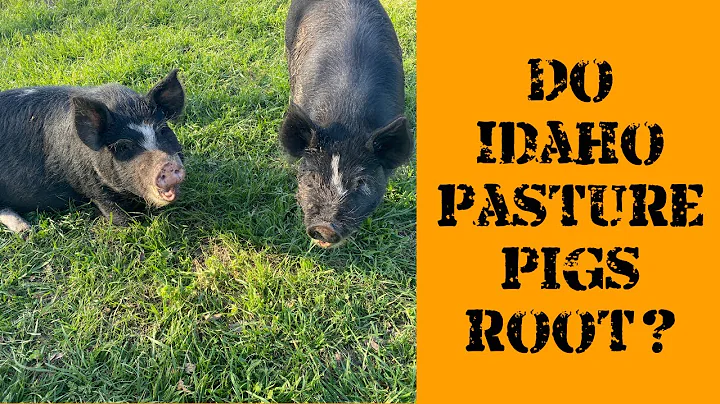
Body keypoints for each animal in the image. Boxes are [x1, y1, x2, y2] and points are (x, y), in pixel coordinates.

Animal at [0, 70, 186, 235]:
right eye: (123, 147)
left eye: (162, 130)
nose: (167, 165)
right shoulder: (90, 185)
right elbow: (117, 215)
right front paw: (135, 225)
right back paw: (26, 231)